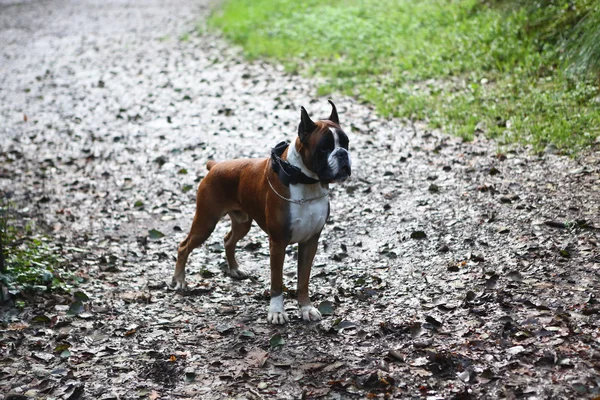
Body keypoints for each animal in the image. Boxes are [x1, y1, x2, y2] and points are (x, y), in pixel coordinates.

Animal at [171, 101, 352, 324]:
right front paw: (276, 312)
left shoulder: (310, 242)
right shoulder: (278, 243)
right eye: (324, 147)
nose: (343, 153)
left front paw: (306, 308)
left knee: (228, 240)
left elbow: (303, 280)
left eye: (346, 143)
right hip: (206, 222)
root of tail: (215, 166)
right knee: (184, 246)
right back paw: (179, 280)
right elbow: (277, 281)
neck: (305, 181)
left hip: (242, 223)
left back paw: (234, 270)